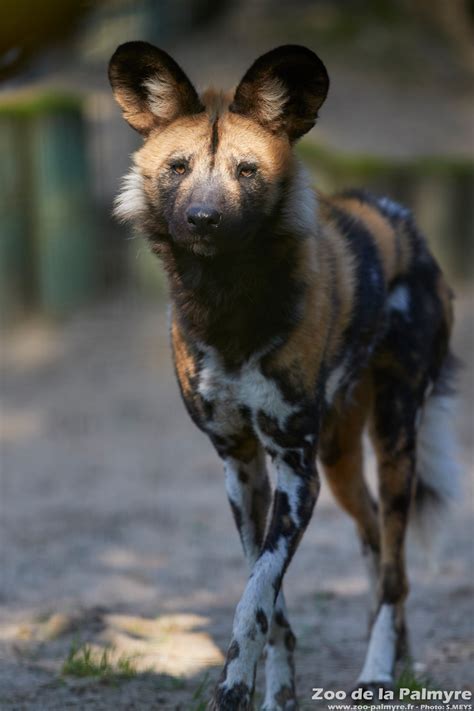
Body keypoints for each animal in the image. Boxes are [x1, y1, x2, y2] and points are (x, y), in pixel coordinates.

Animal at [108, 43, 460, 711]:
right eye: (177, 167)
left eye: (246, 171)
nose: (202, 218)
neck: (225, 305)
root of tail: (405, 220)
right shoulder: (242, 466)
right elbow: (268, 601)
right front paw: (275, 693)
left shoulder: (294, 471)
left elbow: (254, 600)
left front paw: (234, 686)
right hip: (341, 459)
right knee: (375, 543)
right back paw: (398, 655)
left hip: (393, 441)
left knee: (394, 570)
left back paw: (378, 672)